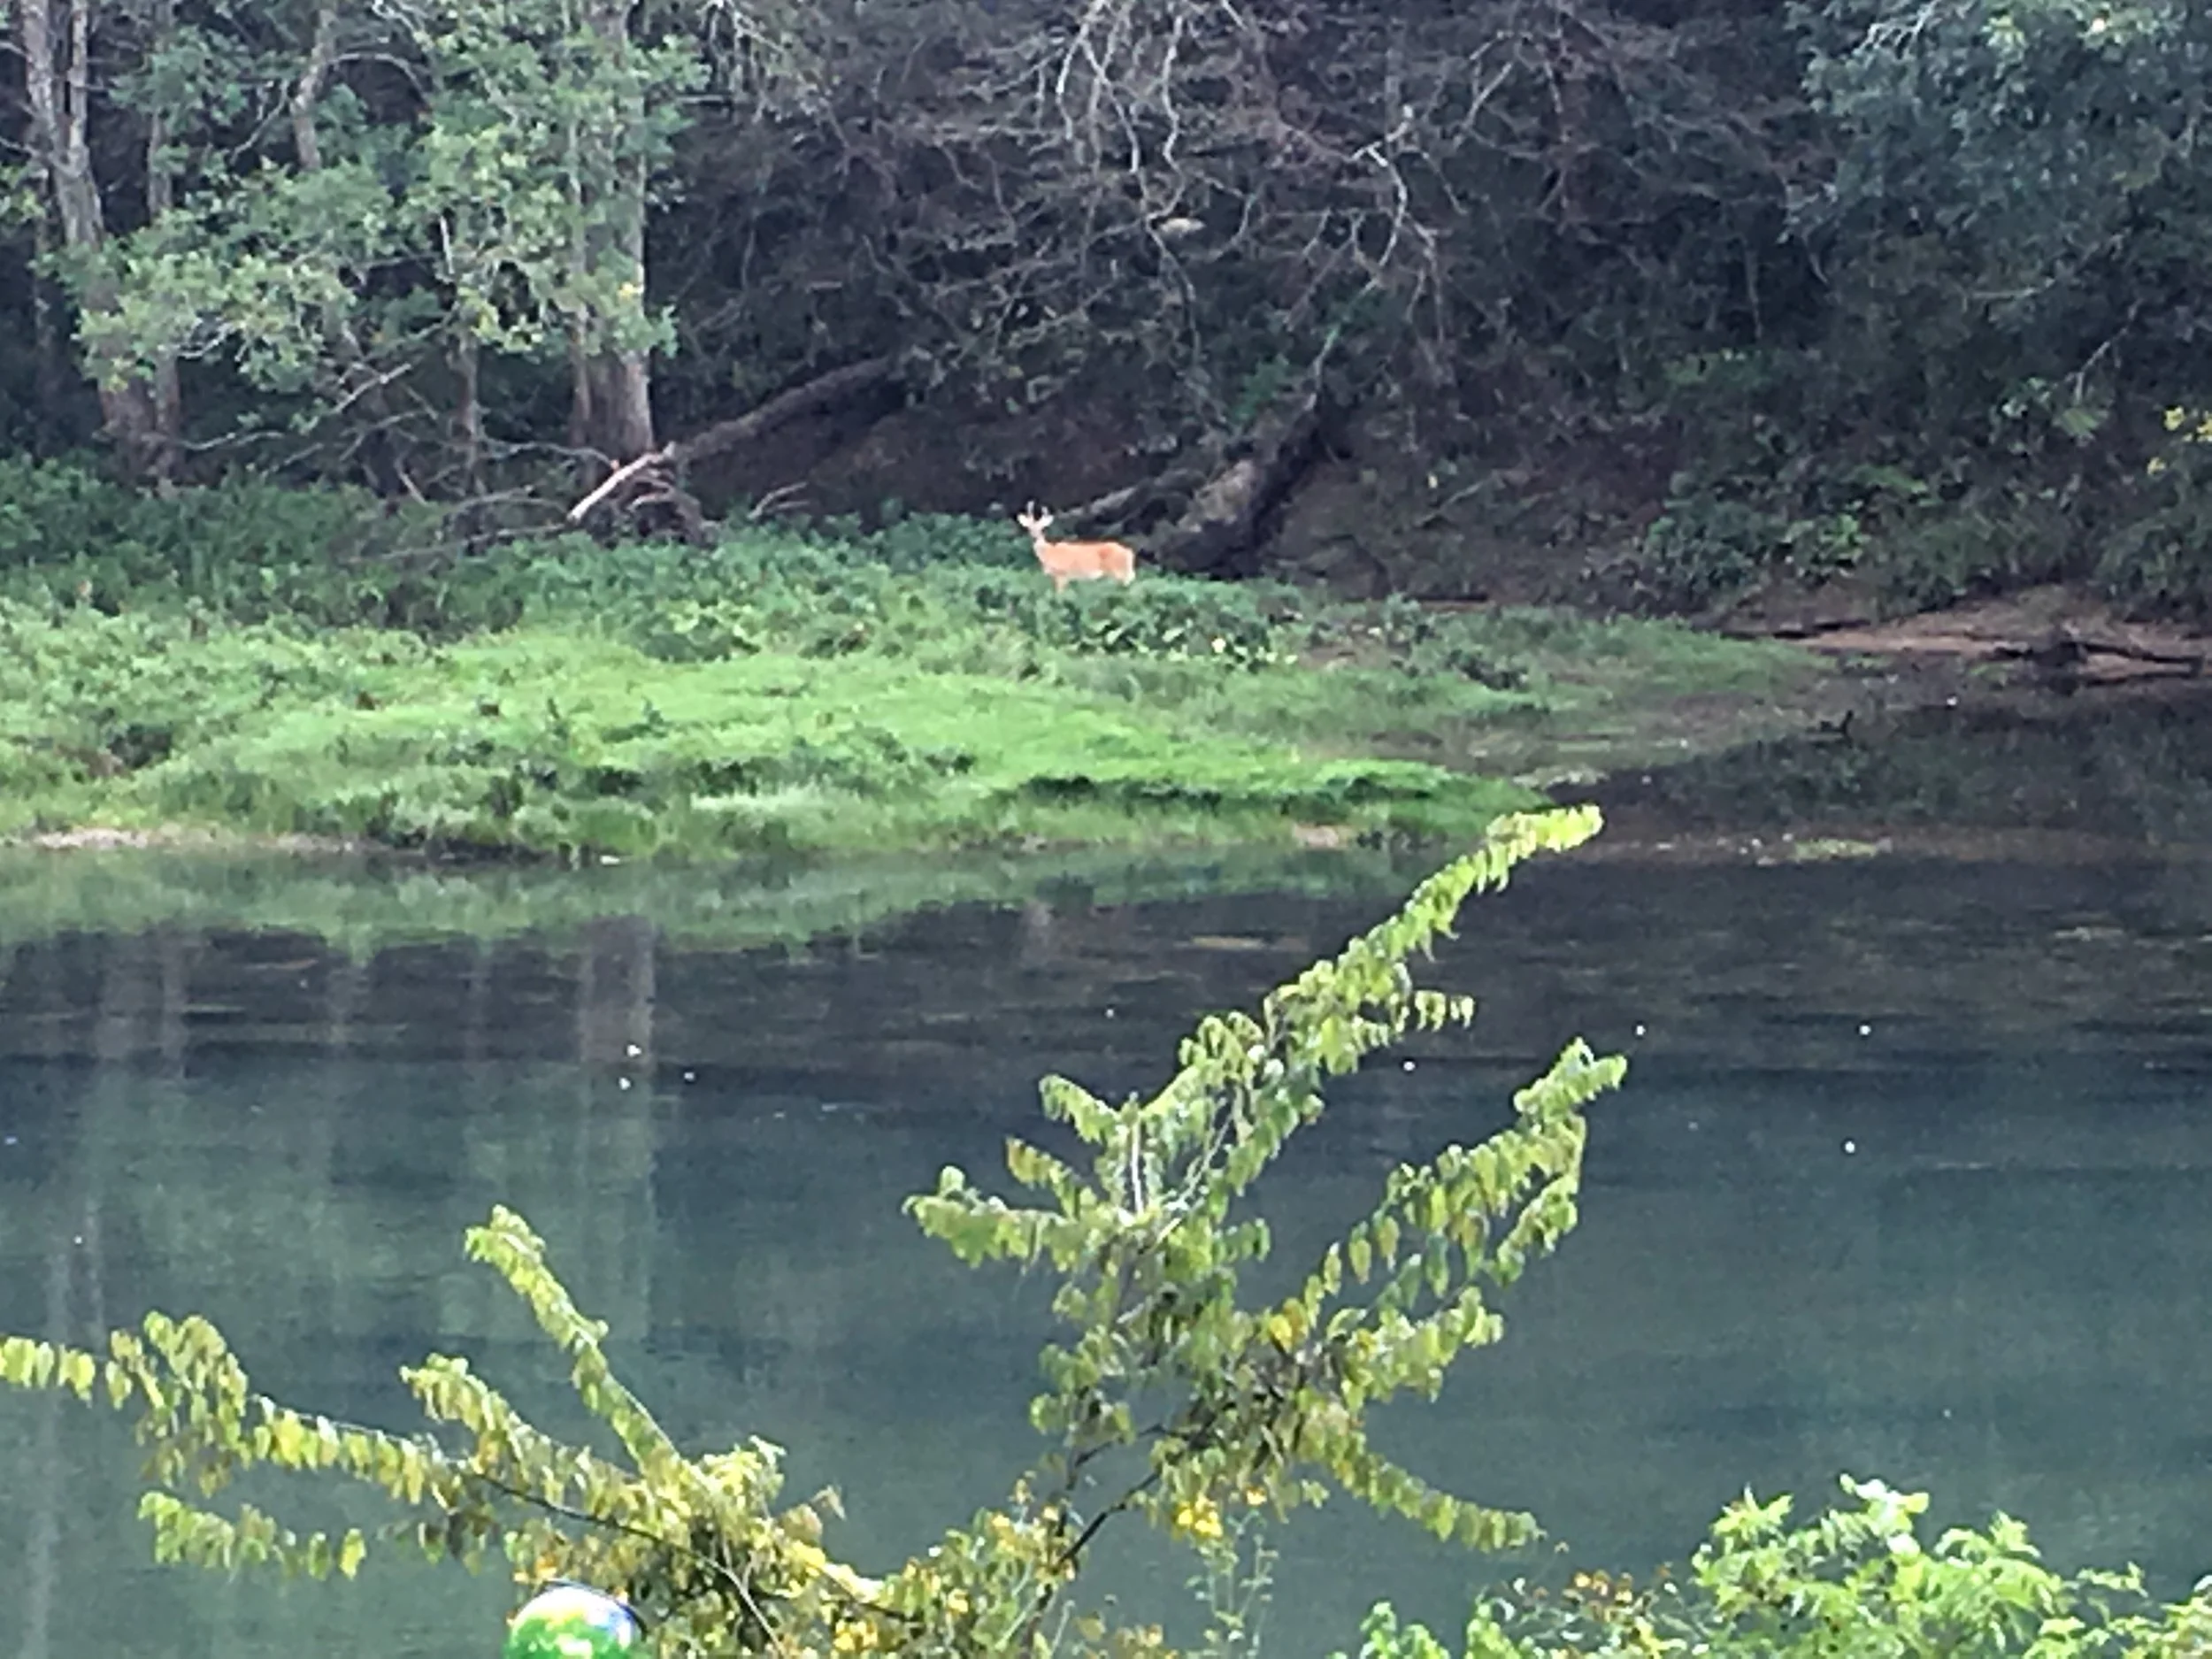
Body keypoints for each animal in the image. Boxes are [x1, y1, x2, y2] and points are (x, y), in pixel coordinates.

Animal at [1015, 504, 1137, 593]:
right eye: (1029, 528)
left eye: (1042, 528)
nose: (1035, 536)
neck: (1049, 553)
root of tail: (1129, 553)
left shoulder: (1062, 574)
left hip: (1116, 571)